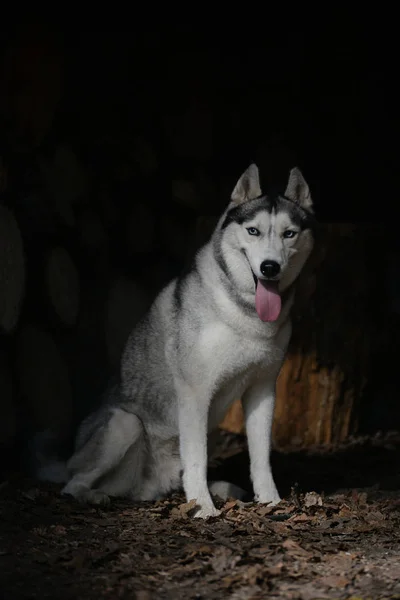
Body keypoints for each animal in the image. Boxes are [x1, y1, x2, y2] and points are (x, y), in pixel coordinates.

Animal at [60, 165, 316, 520]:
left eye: (289, 234)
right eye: (253, 231)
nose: (270, 267)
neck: (244, 313)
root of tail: (150, 487)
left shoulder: (263, 389)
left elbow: (260, 458)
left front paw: (271, 501)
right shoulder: (196, 392)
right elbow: (197, 458)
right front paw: (204, 509)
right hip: (125, 424)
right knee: (71, 484)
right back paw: (92, 496)